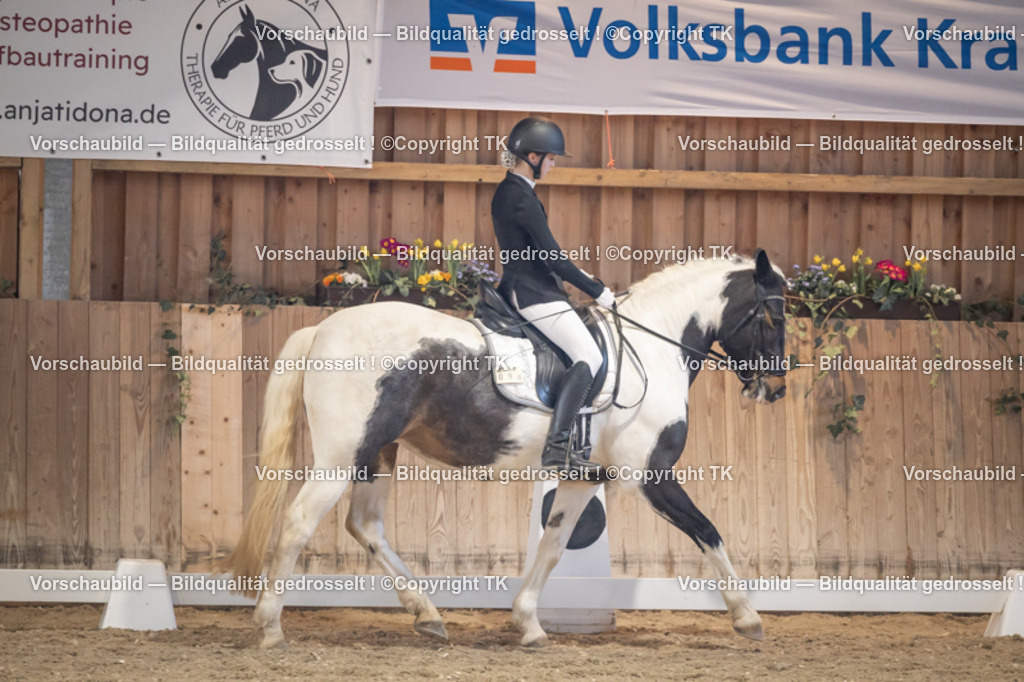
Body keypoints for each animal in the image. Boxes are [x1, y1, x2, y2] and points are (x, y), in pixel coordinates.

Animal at [219, 249, 788, 649]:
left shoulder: (583, 479)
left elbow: (553, 546)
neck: (651, 348)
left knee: (366, 527)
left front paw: (529, 623)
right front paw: (748, 618)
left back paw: (427, 615)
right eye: (774, 318)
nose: (778, 388)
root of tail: (323, 326)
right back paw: (270, 628)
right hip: (339, 459)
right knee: (298, 525)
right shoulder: (650, 476)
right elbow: (708, 531)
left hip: (376, 453)